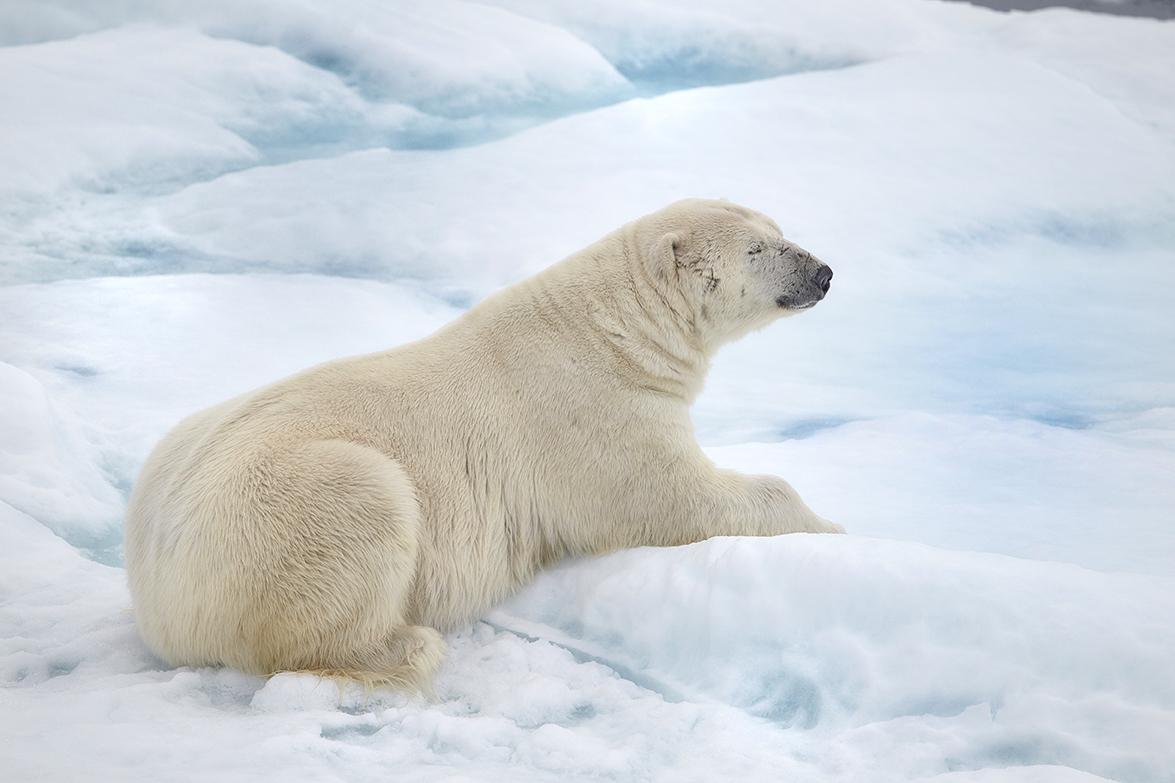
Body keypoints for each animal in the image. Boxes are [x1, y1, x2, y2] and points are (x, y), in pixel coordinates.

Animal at [123, 198, 845, 691]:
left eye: (779, 231)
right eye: (756, 250)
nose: (825, 272)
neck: (612, 332)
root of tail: (155, 591)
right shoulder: (591, 413)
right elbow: (672, 499)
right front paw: (833, 528)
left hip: (177, 443)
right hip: (280, 510)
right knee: (364, 512)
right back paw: (406, 647)